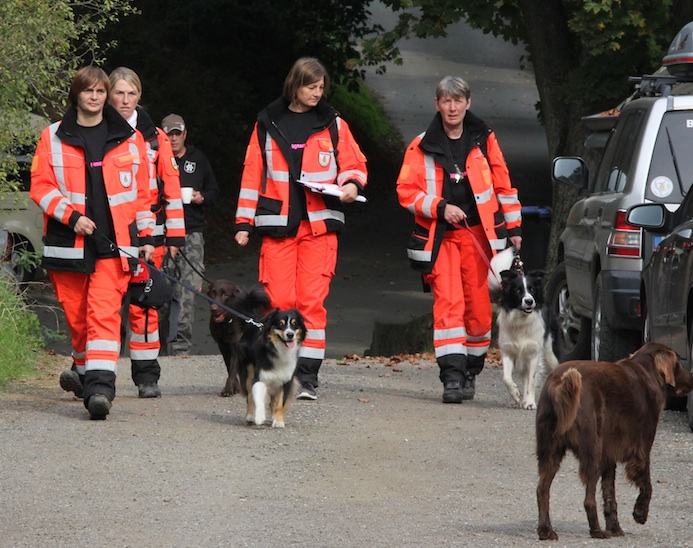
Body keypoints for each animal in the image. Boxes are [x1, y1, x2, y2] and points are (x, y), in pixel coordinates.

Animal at [536, 342, 692, 540]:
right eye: (678, 364)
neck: (646, 372)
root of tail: (560, 382)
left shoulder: (608, 456)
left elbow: (610, 495)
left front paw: (615, 527)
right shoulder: (641, 451)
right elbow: (647, 486)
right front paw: (640, 513)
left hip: (550, 452)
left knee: (542, 491)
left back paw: (546, 531)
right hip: (591, 452)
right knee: (588, 500)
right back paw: (597, 531)